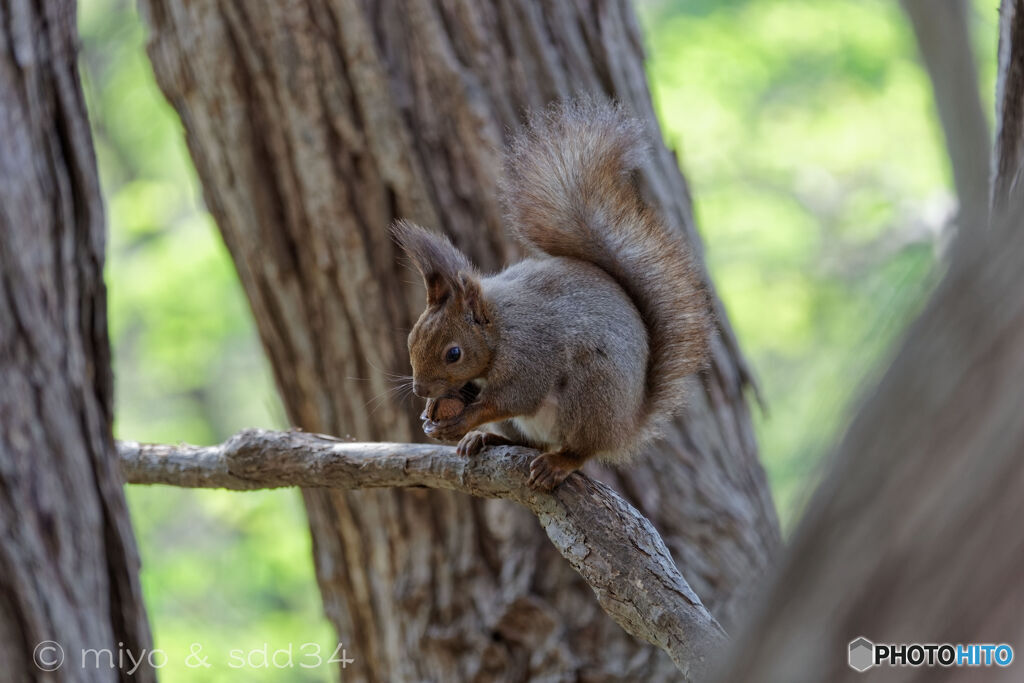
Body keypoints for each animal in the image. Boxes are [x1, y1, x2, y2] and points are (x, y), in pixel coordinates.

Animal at [391, 98, 712, 489]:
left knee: (582, 449)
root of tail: (628, 424)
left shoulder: (531, 355)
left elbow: (512, 398)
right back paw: (488, 438)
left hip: (591, 394)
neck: (500, 327)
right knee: (530, 442)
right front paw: (433, 415)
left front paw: (463, 420)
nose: (420, 391)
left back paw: (557, 463)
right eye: (411, 339)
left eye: (454, 353)